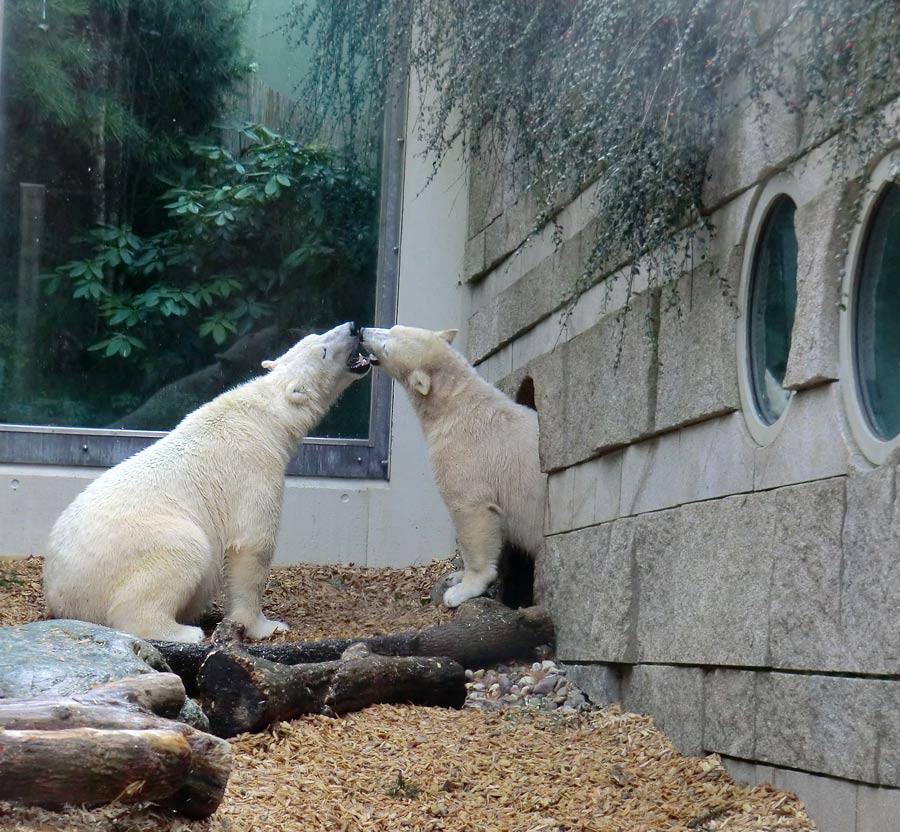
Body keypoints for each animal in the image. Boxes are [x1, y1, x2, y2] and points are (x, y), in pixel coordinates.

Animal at [41, 320, 372, 644]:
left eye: (317, 334)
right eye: (324, 350)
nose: (354, 327)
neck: (267, 417)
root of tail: (59, 591)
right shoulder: (254, 468)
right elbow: (252, 544)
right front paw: (266, 626)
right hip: (136, 547)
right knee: (183, 552)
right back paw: (184, 631)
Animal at [360, 324, 544, 604]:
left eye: (387, 346)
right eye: (392, 328)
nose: (361, 331)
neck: (454, 405)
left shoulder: (466, 454)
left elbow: (471, 511)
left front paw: (462, 590)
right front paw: (455, 577)